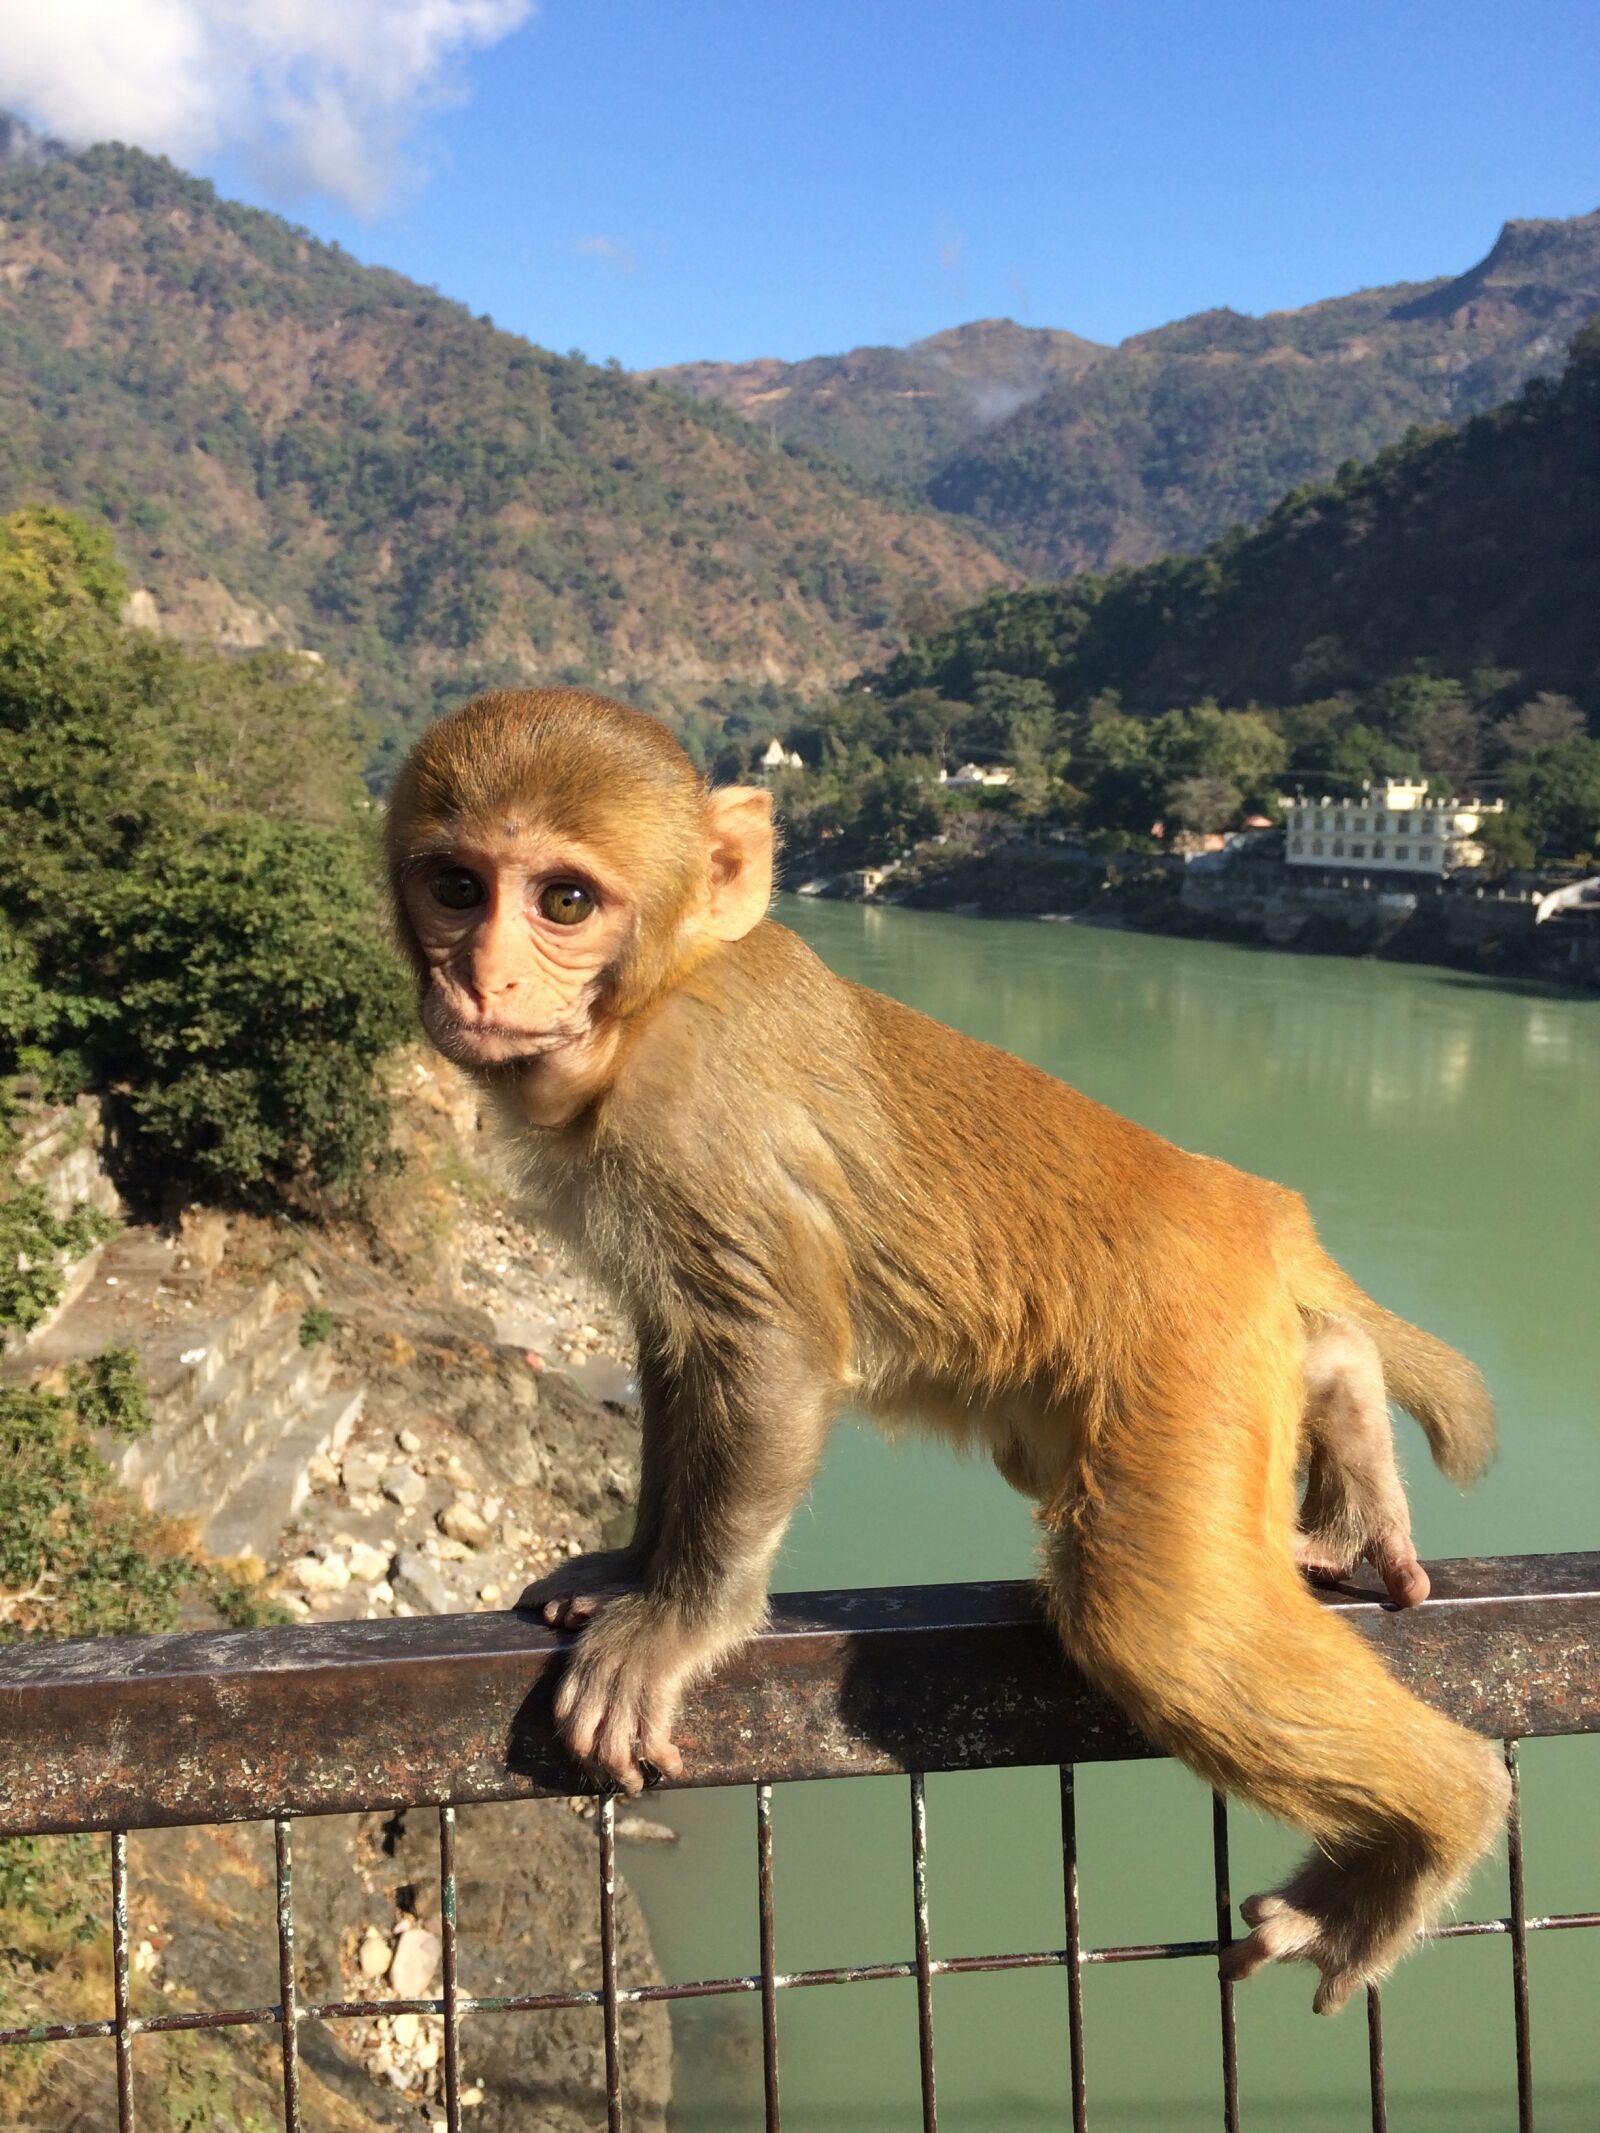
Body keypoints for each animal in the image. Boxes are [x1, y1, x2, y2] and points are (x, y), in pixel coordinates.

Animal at [386, 686, 1507, 2017]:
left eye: (563, 900)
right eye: (458, 886)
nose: (483, 974)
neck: (645, 1009)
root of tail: (1242, 1200)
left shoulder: (698, 1117)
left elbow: (769, 1348)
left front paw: (681, 1614)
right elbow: (676, 1344)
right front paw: (630, 1564)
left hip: (1182, 1346)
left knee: (1157, 1621)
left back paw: (1436, 1819)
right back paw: (1341, 1390)